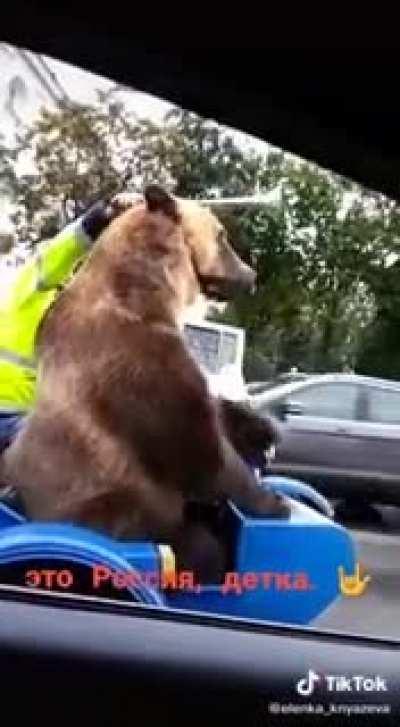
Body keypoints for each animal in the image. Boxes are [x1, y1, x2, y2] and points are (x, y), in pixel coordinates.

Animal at [2, 185, 289, 580]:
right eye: (222, 236)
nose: (251, 274)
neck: (150, 290)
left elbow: (214, 413)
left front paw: (261, 428)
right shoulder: (139, 368)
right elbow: (204, 452)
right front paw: (275, 501)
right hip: (107, 514)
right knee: (193, 544)